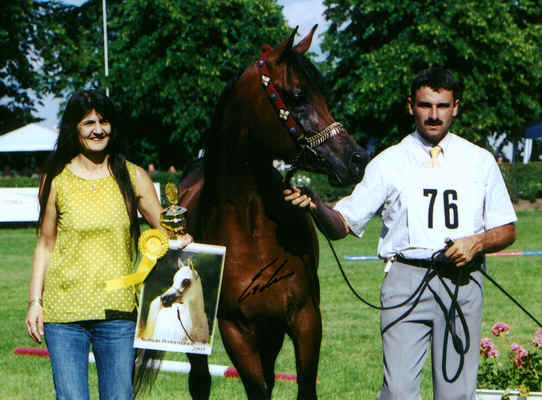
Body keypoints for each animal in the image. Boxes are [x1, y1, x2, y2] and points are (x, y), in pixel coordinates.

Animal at [173, 26, 369, 399]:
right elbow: (257, 389)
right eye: (296, 95)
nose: (357, 159)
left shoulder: (305, 319)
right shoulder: (235, 329)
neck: (251, 229)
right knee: (200, 380)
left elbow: (304, 387)